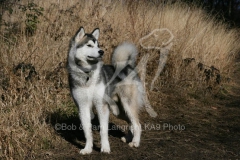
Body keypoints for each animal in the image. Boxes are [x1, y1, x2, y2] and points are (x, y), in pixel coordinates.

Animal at [66, 26, 155, 154]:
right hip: (117, 110)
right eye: (89, 45)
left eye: (98, 45)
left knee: (137, 124)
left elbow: (103, 130)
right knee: (130, 122)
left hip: (127, 105)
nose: (101, 51)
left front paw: (105, 148)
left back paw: (135, 142)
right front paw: (87, 149)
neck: (87, 75)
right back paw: (128, 138)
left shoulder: (101, 105)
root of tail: (128, 66)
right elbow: (87, 132)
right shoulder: (83, 107)